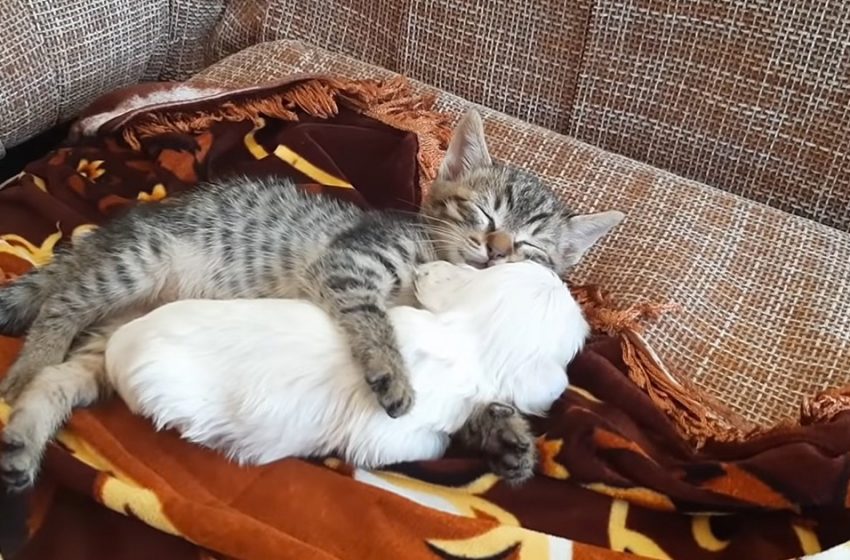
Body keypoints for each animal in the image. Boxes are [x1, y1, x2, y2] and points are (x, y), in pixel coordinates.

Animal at [0, 109, 624, 490]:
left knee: (63, 378)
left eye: (530, 248)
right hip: (139, 262)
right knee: (61, 306)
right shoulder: (351, 264)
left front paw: (509, 439)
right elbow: (374, 318)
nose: (495, 252)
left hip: (113, 335)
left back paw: (23, 443)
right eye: (483, 214)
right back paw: (29, 364)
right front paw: (392, 372)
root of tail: (127, 223)